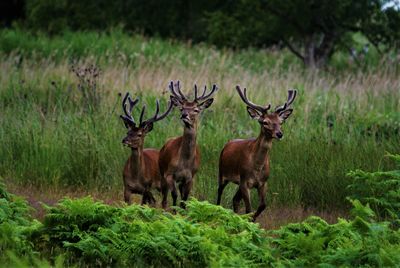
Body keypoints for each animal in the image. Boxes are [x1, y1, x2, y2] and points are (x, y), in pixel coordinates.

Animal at [159, 79, 217, 209]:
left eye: (196, 109)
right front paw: (174, 212)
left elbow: (184, 200)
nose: (184, 115)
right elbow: (174, 195)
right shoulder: (169, 174)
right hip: (161, 171)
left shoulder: (190, 177)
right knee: (164, 199)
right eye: (181, 108)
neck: (184, 163)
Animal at [216, 87, 296, 221]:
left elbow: (262, 205)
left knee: (235, 199)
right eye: (265, 122)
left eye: (281, 122)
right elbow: (249, 209)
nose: (279, 134)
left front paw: (252, 221)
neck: (257, 168)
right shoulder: (245, 181)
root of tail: (227, 144)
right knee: (219, 193)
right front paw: (249, 221)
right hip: (222, 173)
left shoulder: (263, 183)